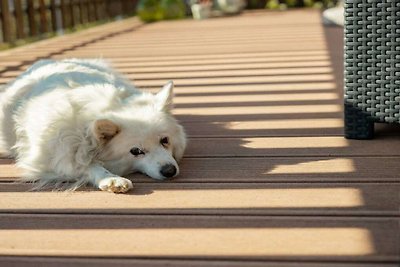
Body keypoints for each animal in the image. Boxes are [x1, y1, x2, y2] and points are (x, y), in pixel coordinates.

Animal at [0, 58, 187, 194]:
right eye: (135, 151)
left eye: (165, 140)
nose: (169, 171)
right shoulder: (53, 158)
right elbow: (86, 166)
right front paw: (110, 179)